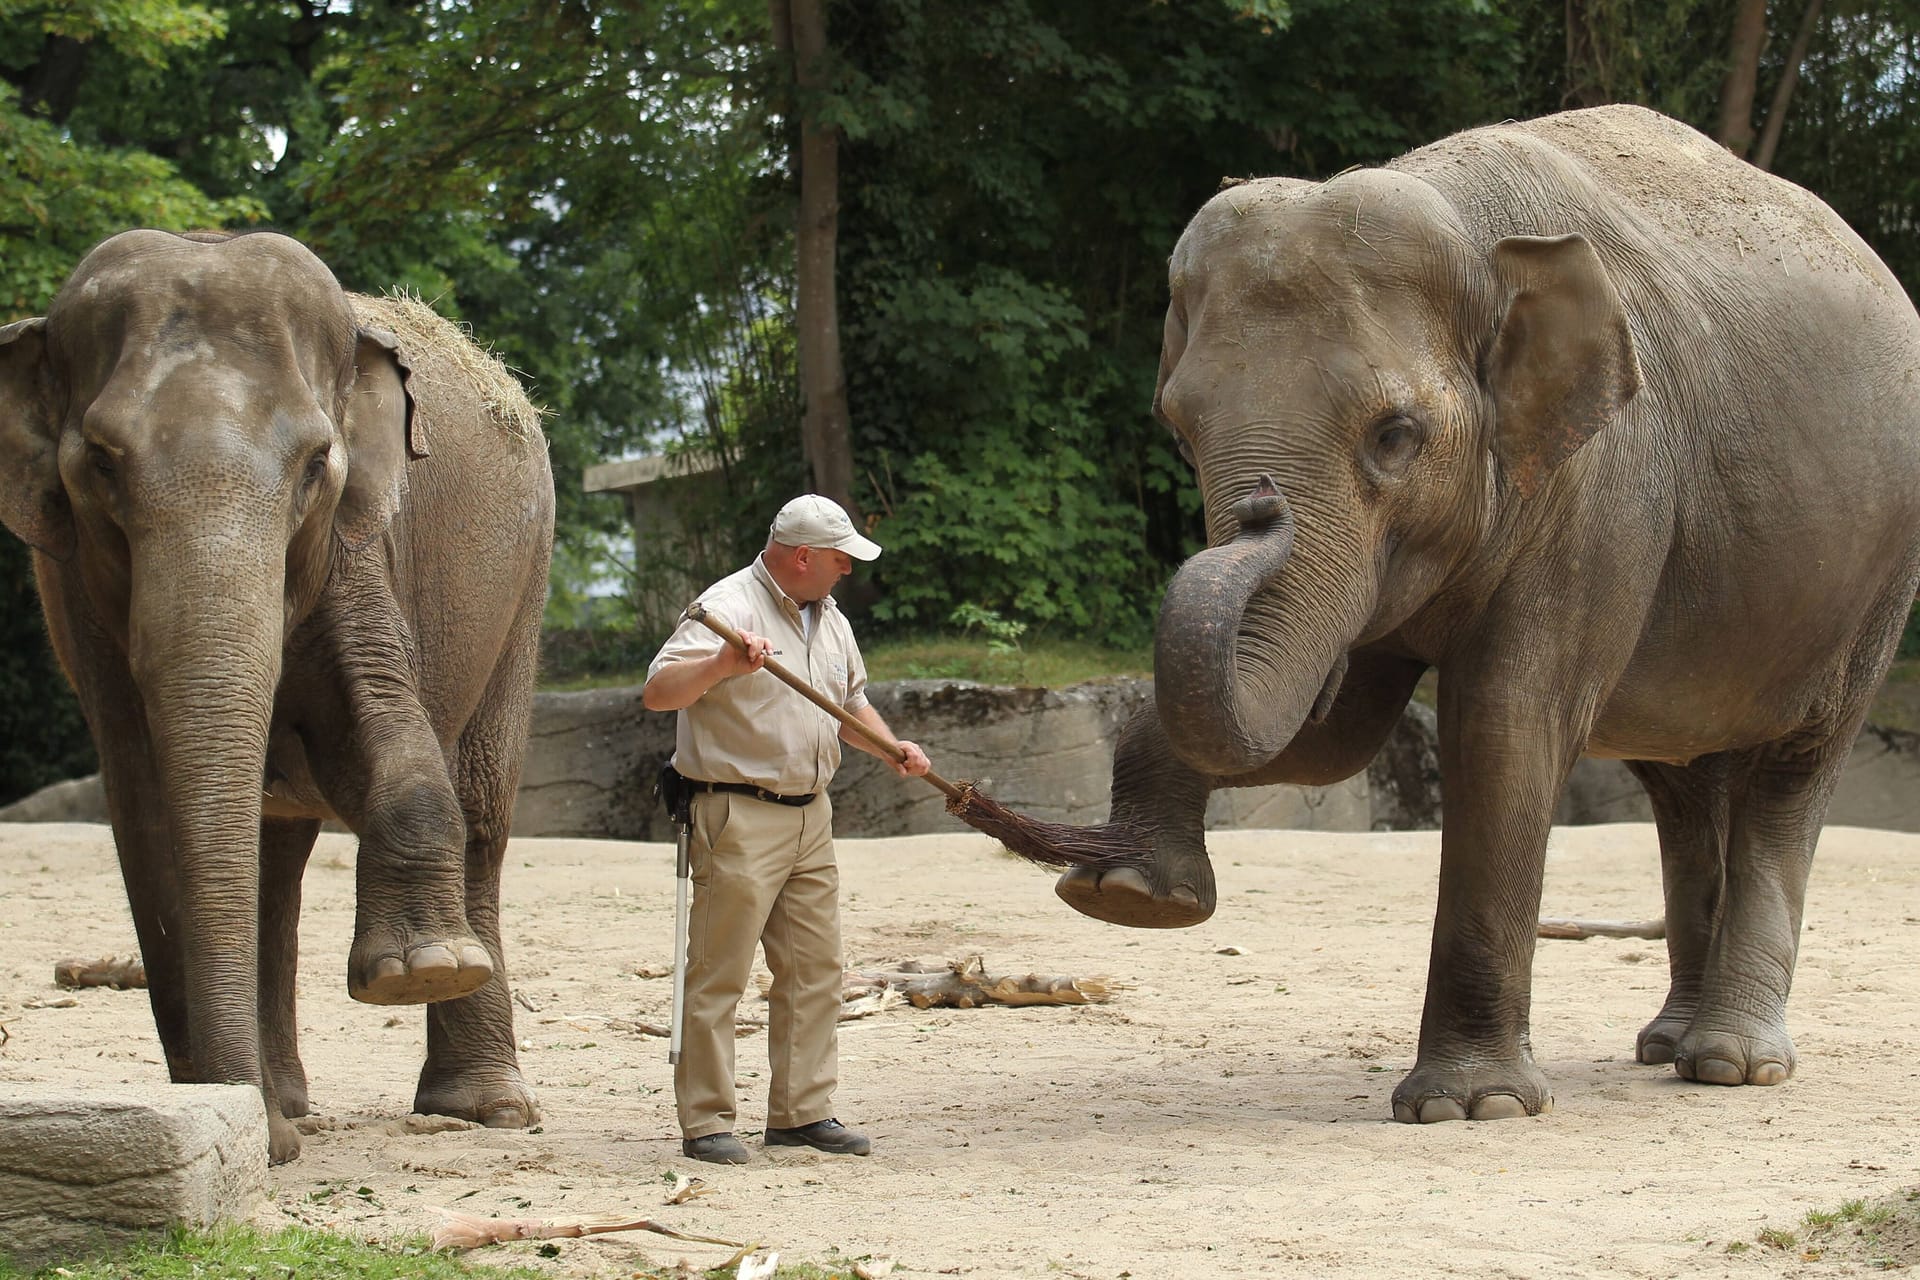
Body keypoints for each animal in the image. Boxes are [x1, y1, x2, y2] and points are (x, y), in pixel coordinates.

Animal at [0, 227, 556, 1159]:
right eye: (101, 465)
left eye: (316, 463)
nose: (266, 1145)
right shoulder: (73, 583)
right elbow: (147, 807)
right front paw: (244, 1121)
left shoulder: (358, 542)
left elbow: (379, 720)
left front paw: (417, 968)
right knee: (274, 857)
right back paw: (293, 1103)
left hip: (524, 592)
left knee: (482, 809)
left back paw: (483, 1107)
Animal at [1052, 105, 1920, 1128]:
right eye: (1181, 434)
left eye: (1395, 435)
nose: (1262, 510)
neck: (1473, 230)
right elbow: (1334, 733)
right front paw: (1127, 894)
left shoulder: (1602, 484)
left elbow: (1504, 729)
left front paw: (1471, 1109)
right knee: (1681, 782)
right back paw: (1665, 1046)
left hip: (1877, 580)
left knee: (1795, 769)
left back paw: (1731, 1066)